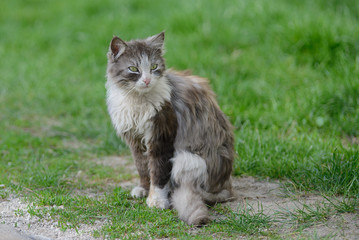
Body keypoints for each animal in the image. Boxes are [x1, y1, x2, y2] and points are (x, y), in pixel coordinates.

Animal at [106, 31, 236, 225]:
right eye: (134, 69)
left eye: (154, 66)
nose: (147, 80)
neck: (137, 101)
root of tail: (226, 185)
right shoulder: (135, 140)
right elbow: (142, 167)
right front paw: (143, 189)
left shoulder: (161, 137)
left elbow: (158, 173)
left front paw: (156, 200)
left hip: (187, 158)